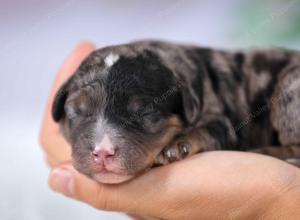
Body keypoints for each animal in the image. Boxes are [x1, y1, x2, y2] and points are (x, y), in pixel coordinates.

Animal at [52, 40, 300, 183]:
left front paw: (177, 146)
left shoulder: (223, 122)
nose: (103, 152)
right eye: (77, 112)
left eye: (144, 113)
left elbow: (207, 131)